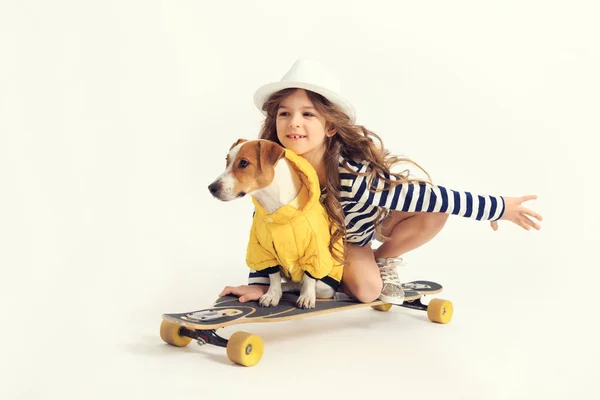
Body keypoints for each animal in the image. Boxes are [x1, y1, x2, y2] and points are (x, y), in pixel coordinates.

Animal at [210, 139, 342, 308]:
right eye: (226, 161)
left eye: (243, 163)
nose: (211, 188)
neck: (276, 209)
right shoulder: (263, 250)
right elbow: (273, 277)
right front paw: (272, 295)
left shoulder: (315, 250)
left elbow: (309, 278)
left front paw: (306, 297)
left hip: (325, 287)